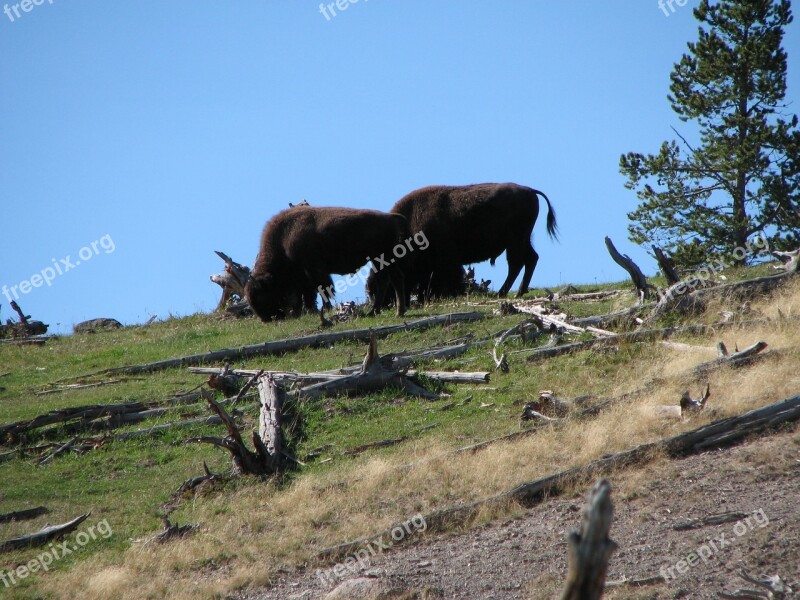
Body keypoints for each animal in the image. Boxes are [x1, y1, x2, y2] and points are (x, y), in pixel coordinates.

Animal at [245, 205, 410, 322]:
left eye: (262, 295)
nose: (266, 319)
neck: (283, 237)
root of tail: (390, 217)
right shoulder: (303, 276)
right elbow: (307, 294)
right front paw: (306, 311)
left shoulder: (313, 271)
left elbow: (322, 290)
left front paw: (323, 308)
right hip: (380, 260)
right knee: (388, 280)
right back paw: (379, 311)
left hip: (382, 257)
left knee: (392, 278)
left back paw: (393, 312)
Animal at [368, 182, 556, 304]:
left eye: (384, 278)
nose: (382, 304)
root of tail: (530, 191)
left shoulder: (445, 263)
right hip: (522, 240)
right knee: (530, 259)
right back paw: (518, 291)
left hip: (515, 241)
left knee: (516, 264)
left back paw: (504, 293)